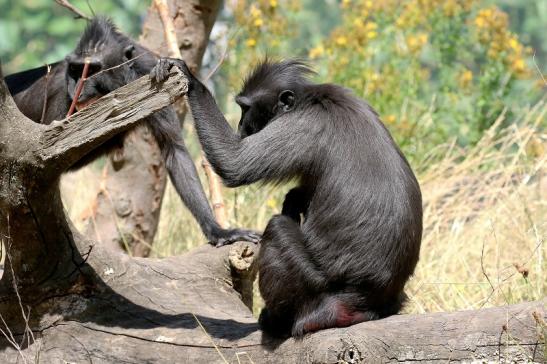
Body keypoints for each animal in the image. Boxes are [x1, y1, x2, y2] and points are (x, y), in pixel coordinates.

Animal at [4, 15, 260, 246]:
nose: (77, 87)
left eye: (92, 70)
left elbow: (174, 148)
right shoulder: (59, 89)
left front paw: (217, 231)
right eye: (76, 70)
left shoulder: (149, 71)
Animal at [152, 57, 426, 338]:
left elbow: (234, 164)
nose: (240, 126)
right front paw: (295, 198)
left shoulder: (300, 125)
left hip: (314, 284)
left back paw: (279, 320)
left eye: (245, 108)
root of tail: (366, 300)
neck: (308, 99)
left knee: (278, 228)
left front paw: (191, 79)